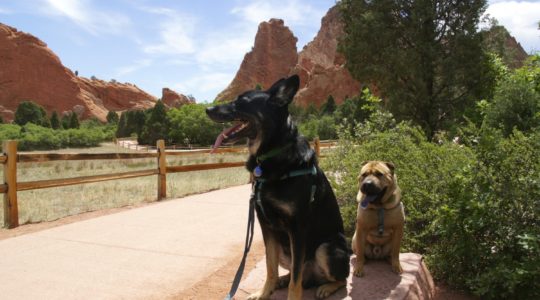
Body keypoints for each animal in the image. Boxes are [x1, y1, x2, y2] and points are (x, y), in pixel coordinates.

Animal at [205, 74, 348, 298]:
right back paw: (283, 280)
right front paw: (264, 292)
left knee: (339, 278)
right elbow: (270, 267)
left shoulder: (297, 228)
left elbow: (295, 282)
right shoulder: (267, 227)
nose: (207, 109)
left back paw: (326, 287)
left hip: (326, 248)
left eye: (241, 101)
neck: (271, 154)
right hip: (284, 248)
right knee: (297, 274)